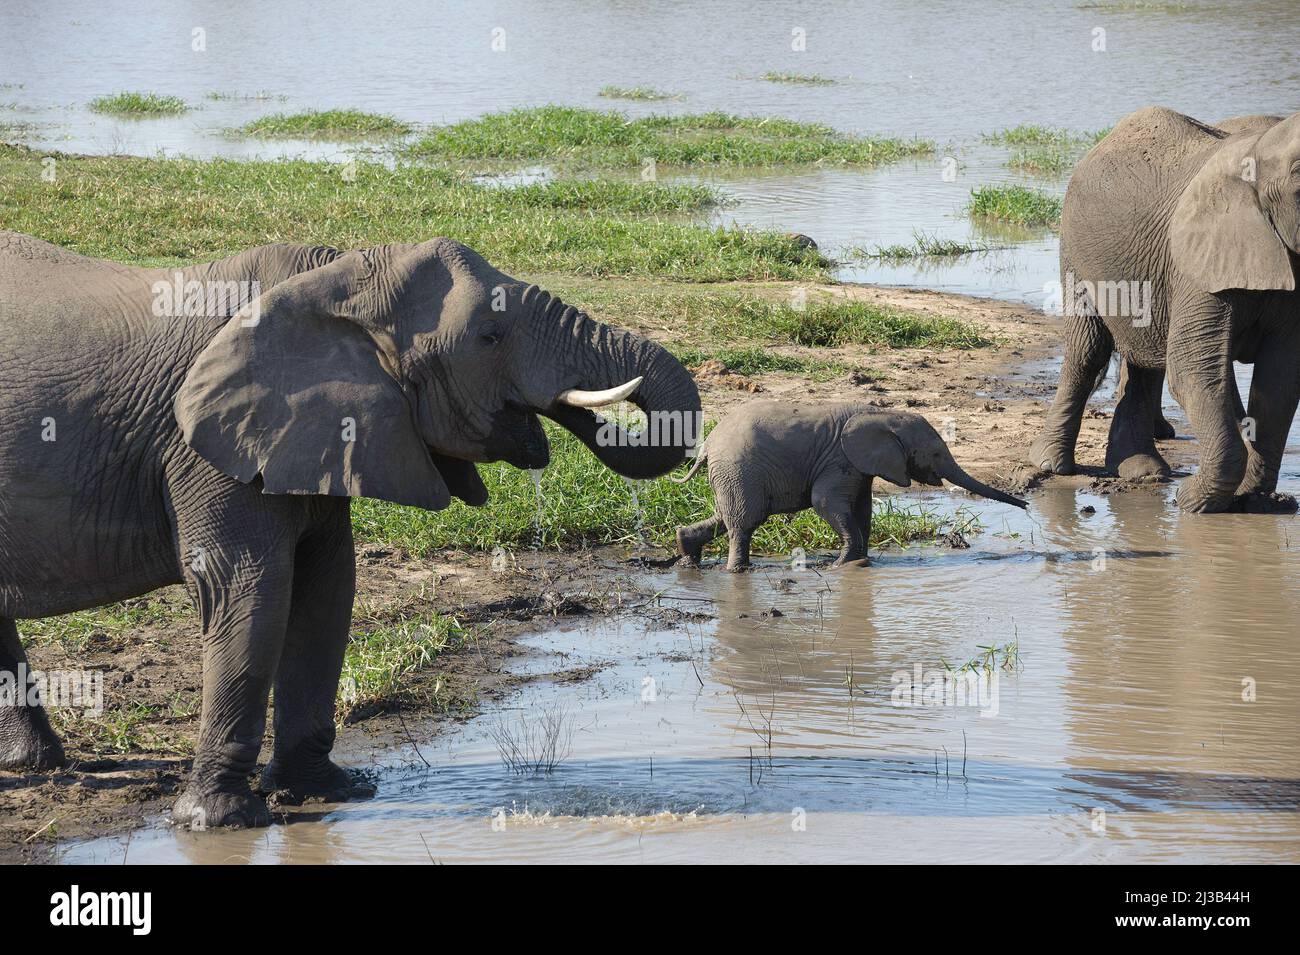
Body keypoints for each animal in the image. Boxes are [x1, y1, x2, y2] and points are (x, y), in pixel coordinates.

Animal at [0, 233, 702, 831]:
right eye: (489, 335)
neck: (331, 279)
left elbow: (329, 585)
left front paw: (332, 793)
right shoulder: (204, 447)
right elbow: (250, 588)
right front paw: (220, 823)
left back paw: (33, 764)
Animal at [670, 400, 1024, 571]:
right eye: (936, 453)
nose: (1025, 505)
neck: (882, 414)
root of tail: (707, 445)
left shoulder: (859, 465)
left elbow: (862, 510)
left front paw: (860, 562)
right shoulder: (839, 459)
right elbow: (825, 502)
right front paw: (843, 566)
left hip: (730, 474)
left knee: (728, 516)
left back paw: (688, 554)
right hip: (740, 469)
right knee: (745, 521)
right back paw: (738, 573)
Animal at [1024, 108, 1300, 514]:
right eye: (1299, 177)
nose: (1181, 496)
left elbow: (1279, 382)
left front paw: (1248, 496)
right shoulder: (1196, 258)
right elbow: (1192, 369)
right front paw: (1192, 502)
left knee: (1146, 356)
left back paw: (1142, 472)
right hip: (1075, 248)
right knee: (1089, 350)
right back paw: (1052, 465)